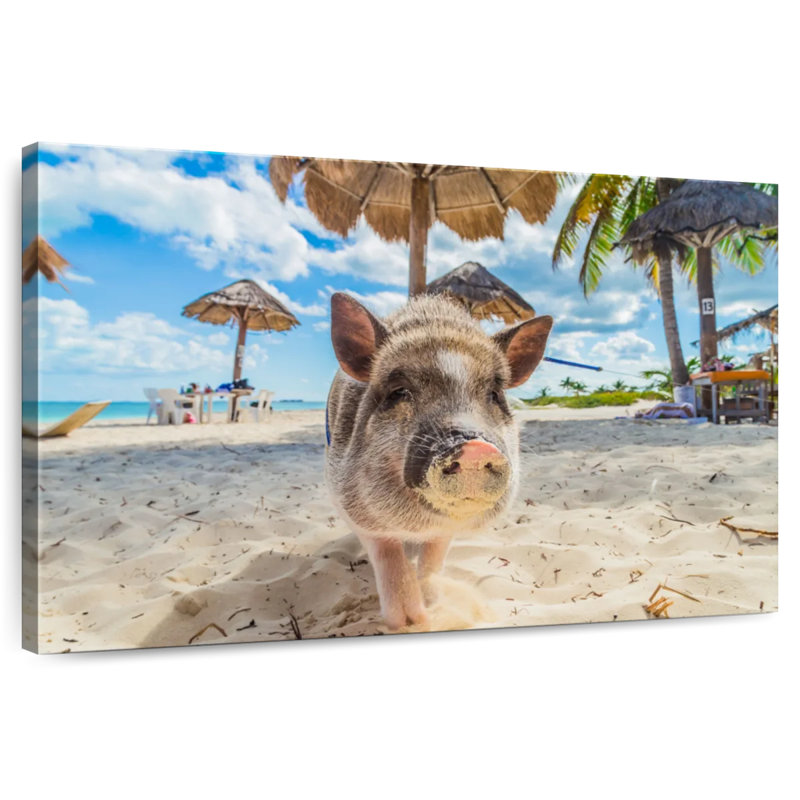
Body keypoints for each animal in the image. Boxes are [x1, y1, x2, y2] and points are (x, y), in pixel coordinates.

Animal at [325, 291, 553, 630]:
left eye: (495, 394)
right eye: (399, 391)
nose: (474, 447)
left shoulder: (446, 529)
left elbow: (434, 557)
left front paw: (432, 605)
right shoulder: (347, 498)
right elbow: (386, 552)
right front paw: (406, 621)